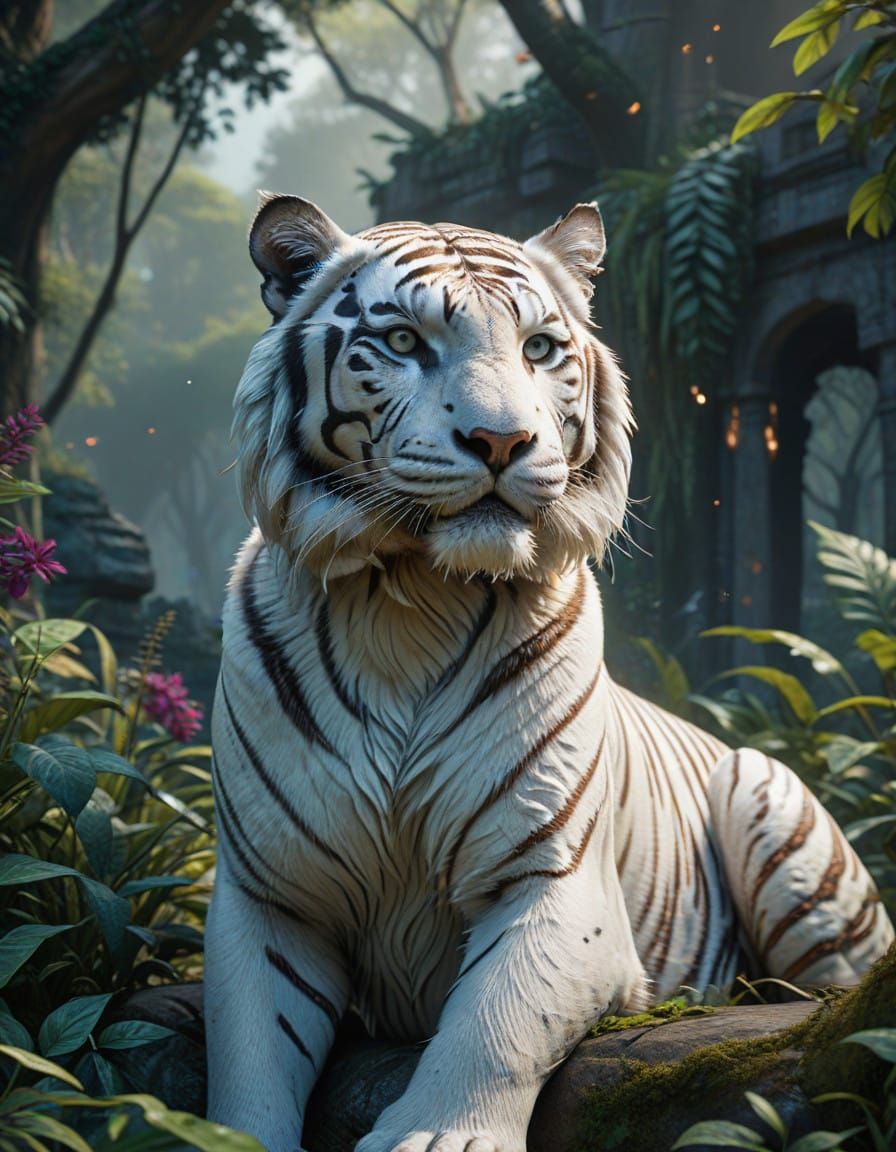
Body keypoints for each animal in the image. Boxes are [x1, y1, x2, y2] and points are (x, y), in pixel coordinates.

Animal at [205, 194, 894, 1152]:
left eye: (538, 348)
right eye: (405, 341)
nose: (503, 440)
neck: (408, 604)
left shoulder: (557, 881)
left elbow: (495, 1022)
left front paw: (438, 1137)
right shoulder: (269, 896)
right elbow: (245, 1060)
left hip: (776, 813)